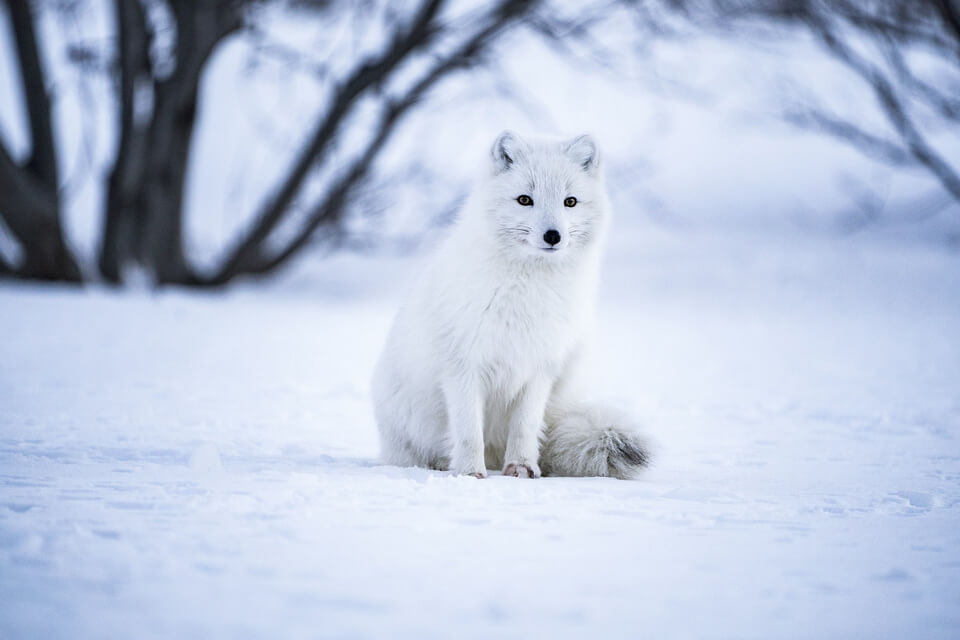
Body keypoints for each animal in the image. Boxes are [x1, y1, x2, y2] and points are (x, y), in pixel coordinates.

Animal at [372, 132, 648, 478]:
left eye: (570, 201)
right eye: (524, 200)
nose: (553, 235)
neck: (527, 290)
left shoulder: (540, 368)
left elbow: (525, 427)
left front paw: (521, 467)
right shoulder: (463, 365)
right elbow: (467, 430)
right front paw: (469, 473)